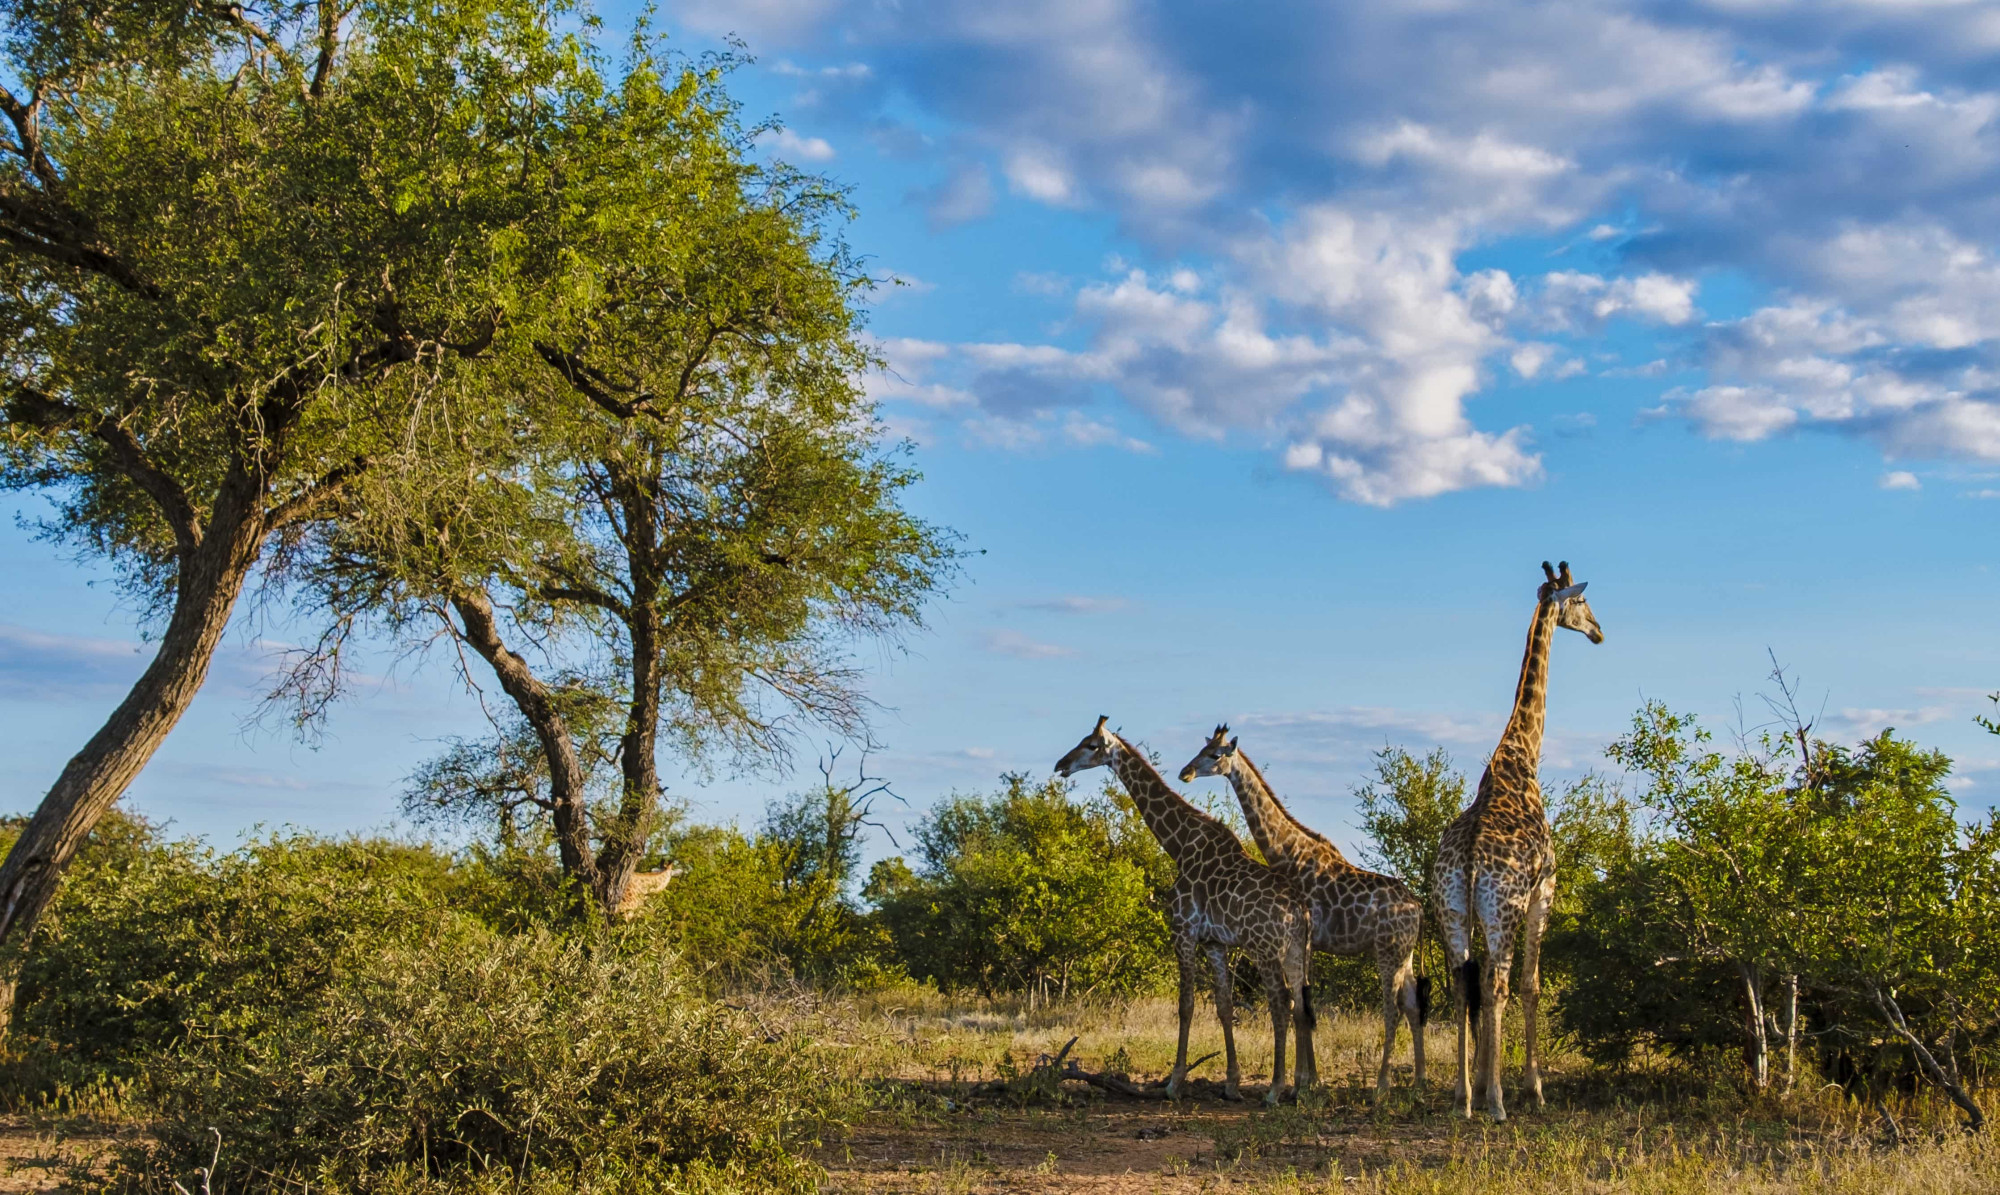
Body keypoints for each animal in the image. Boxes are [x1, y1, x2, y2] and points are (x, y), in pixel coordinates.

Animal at [1056, 716, 1316, 1104]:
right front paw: (1231, 1084)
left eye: (1090, 745)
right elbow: (1223, 1006)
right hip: (1297, 950)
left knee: (1281, 1004)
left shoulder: (1183, 930)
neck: (1178, 844)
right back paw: (1299, 1087)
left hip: (1265, 949)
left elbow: (1186, 1005)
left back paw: (1274, 1089)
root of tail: (1300, 910)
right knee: (1300, 1004)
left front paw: (1174, 1082)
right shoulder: (1214, 942)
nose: (1061, 765)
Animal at [1179, 728, 1426, 1102]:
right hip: (1405, 954)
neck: (1286, 851)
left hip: (1388, 951)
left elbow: (1300, 1007)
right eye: (1201, 747)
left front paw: (1301, 1083)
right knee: (1412, 1005)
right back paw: (1419, 1081)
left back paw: (1382, 1086)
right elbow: (1305, 1006)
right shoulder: (1308, 943)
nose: (1186, 772)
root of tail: (1418, 908)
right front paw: (1310, 1080)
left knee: (1392, 1008)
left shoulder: (1305, 938)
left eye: (1215, 754)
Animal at [1433, 560, 1603, 1121]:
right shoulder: (1543, 892)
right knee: (1500, 985)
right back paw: (1499, 1102)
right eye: (1582, 602)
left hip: (1452, 911)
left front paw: (1482, 1081)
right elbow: (1531, 986)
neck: (1520, 755)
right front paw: (1532, 1087)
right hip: (1503, 908)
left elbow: (1479, 987)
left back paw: (1463, 1097)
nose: (1599, 632)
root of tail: (1467, 862)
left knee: (1464, 983)